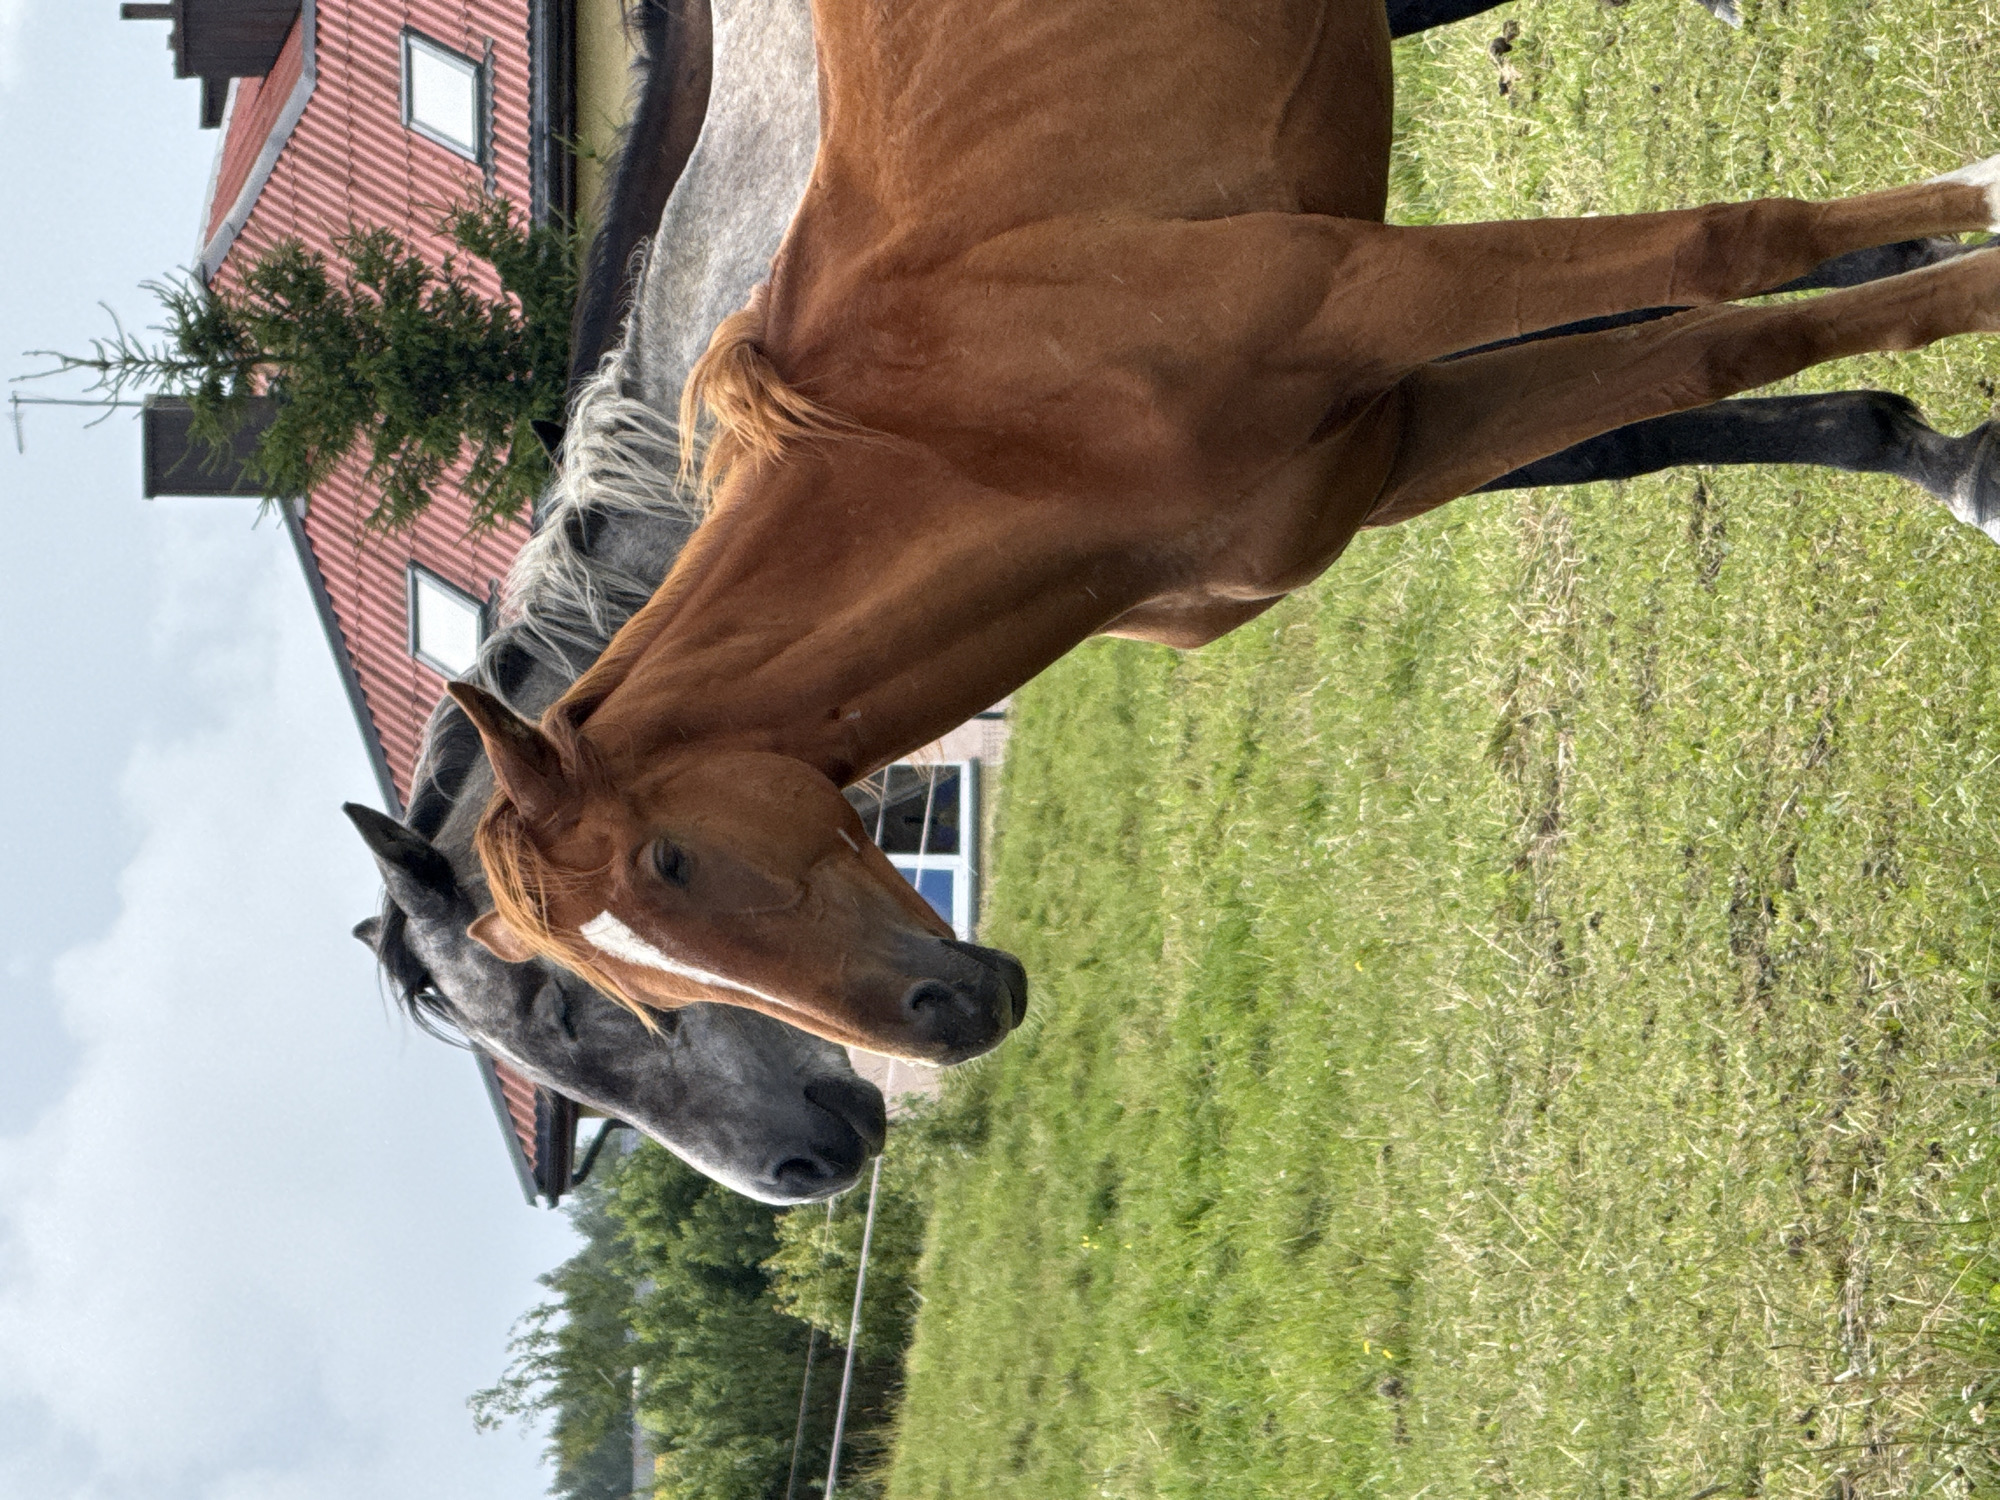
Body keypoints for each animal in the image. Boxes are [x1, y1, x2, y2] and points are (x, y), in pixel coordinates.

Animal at [440, 0, 2000, 1067]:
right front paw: (1948, 430)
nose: (950, 1021)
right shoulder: (1402, 438)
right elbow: (1715, 353)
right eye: (637, 995)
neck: (985, 426)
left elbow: (1734, 247)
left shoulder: (1375, 291)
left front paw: (1979, 234)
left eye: (670, 867)